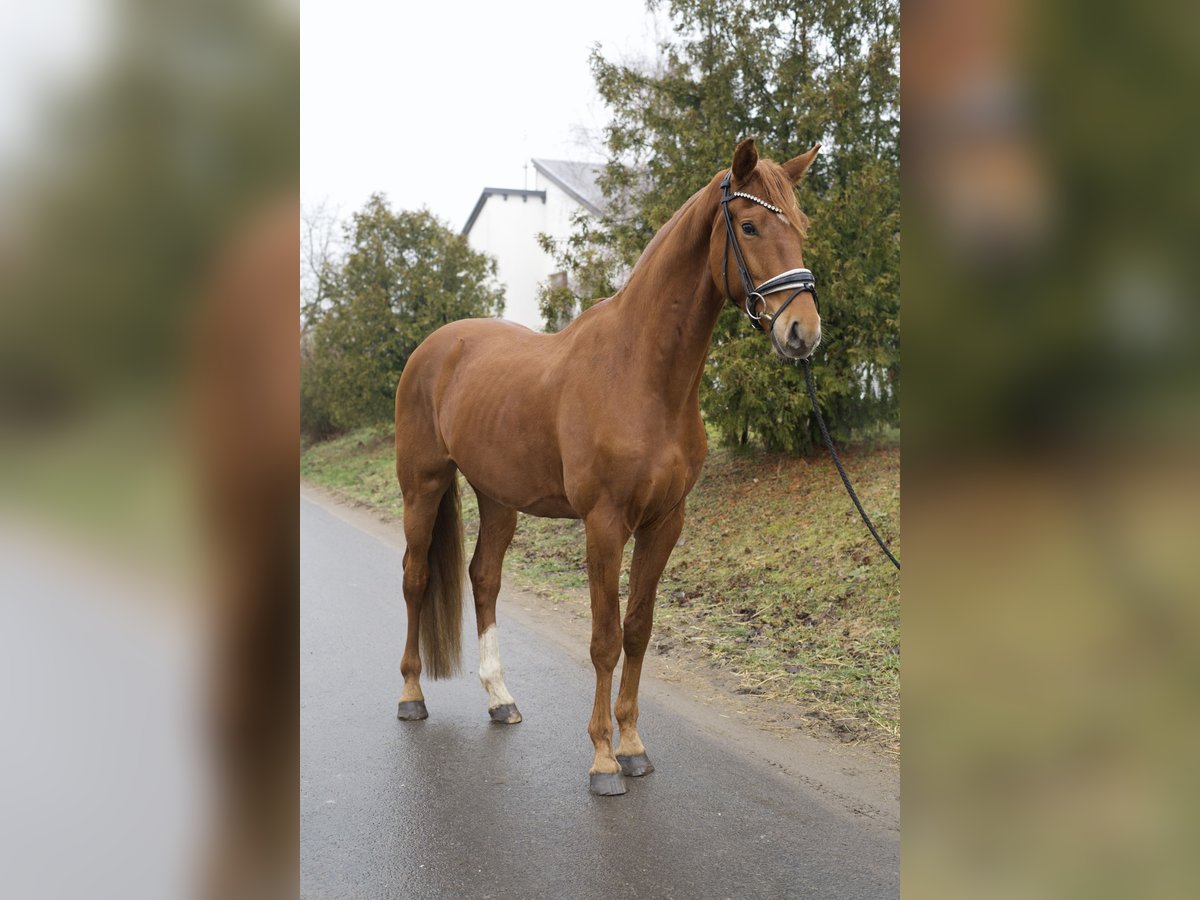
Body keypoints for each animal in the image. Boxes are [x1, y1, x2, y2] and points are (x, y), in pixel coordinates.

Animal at [396, 137, 825, 792]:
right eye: (750, 226)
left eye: (799, 227)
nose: (803, 331)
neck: (639, 372)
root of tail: (435, 347)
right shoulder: (604, 524)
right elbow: (603, 638)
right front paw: (602, 759)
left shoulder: (664, 523)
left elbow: (638, 632)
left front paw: (633, 746)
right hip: (422, 486)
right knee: (416, 579)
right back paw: (412, 696)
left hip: (497, 496)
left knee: (483, 577)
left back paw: (500, 699)